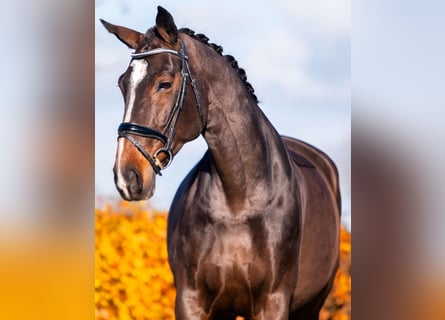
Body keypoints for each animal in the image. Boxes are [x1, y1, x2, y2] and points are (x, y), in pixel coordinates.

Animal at [102, 6, 342, 318]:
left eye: (164, 83)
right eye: (122, 85)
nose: (127, 176)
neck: (239, 201)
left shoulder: (273, 301)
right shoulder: (191, 300)